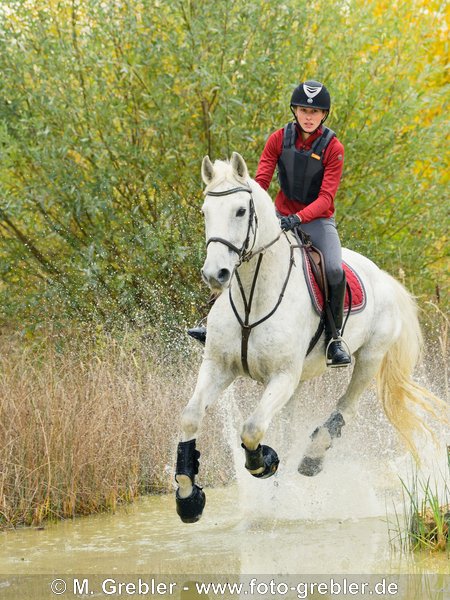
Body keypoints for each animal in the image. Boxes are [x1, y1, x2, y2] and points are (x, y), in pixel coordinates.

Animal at [174, 152, 444, 524]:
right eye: (205, 212)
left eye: (241, 211)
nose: (216, 274)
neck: (253, 297)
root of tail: (383, 276)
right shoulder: (218, 367)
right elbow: (190, 416)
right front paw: (188, 499)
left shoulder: (282, 376)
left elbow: (252, 429)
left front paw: (263, 462)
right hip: (299, 382)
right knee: (290, 432)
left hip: (368, 358)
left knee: (346, 407)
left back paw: (312, 458)